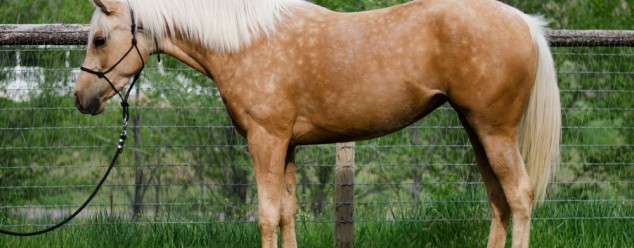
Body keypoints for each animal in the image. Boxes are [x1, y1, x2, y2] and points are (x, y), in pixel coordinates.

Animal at [75, 0, 556, 248]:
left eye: (99, 39)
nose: (82, 98)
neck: (246, 43)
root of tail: (524, 22)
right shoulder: (286, 144)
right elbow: (287, 214)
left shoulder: (265, 141)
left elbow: (267, 215)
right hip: (477, 131)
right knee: (499, 201)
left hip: (494, 132)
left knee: (519, 196)